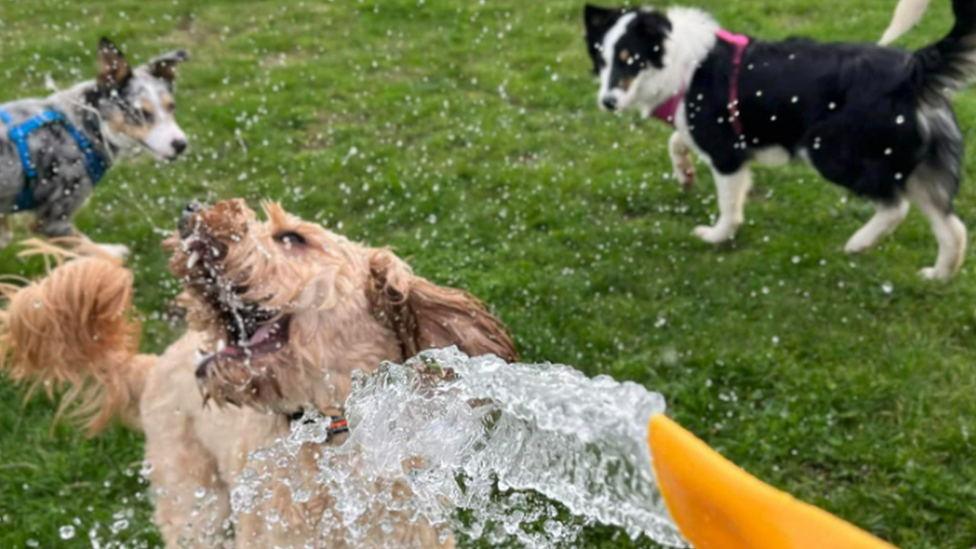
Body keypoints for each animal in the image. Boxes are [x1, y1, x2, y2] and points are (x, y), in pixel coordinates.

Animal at [0, 38, 190, 256]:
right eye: (140, 113)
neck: (84, 125)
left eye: (171, 106)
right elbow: (89, 246)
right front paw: (111, 252)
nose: (181, 145)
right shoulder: (53, 220)